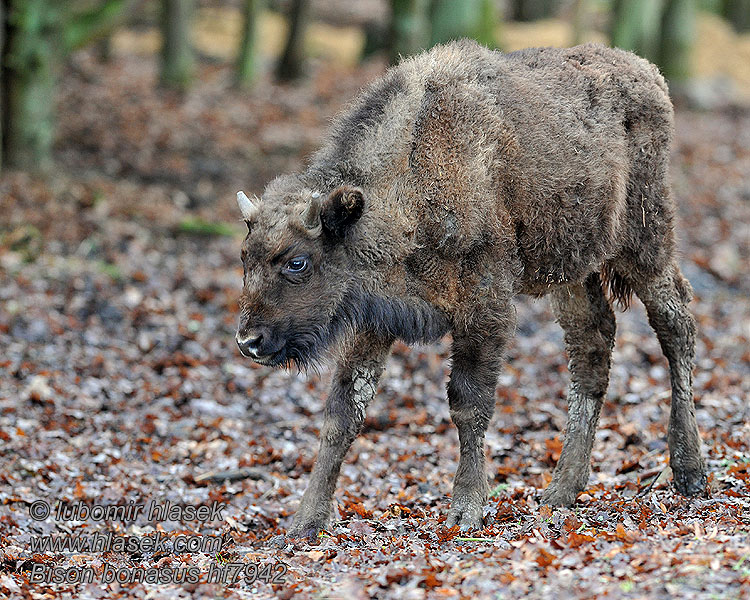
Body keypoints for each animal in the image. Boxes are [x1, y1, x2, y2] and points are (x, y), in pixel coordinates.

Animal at [236, 41, 712, 536]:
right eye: (244, 257)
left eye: (297, 262)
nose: (249, 341)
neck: (412, 176)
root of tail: (649, 73)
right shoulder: (376, 317)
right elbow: (343, 411)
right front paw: (305, 522)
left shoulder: (483, 306)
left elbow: (468, 402)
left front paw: (466, 508)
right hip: (572, 272)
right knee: (592, 348)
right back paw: (561, 491)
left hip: (646, 242)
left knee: (677, 326)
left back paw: (689, 471)